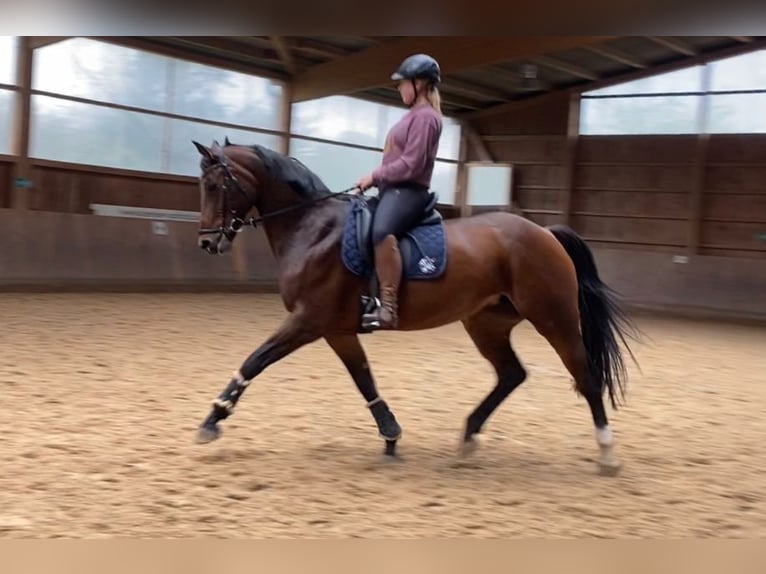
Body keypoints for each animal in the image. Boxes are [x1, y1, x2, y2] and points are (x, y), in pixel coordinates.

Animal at [189, 138, 640, 476]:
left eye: (213, 186)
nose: (207, 243)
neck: (312, 228)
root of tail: (544, 232)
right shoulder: (336, 329)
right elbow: (364, 380)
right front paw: (390, 435)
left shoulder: (307, 320)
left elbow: (254, 361)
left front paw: (212, 420)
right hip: (487, 323)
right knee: (512, 373)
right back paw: (468, 438)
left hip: (553, 317)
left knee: (585, 375)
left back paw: (607, 453)